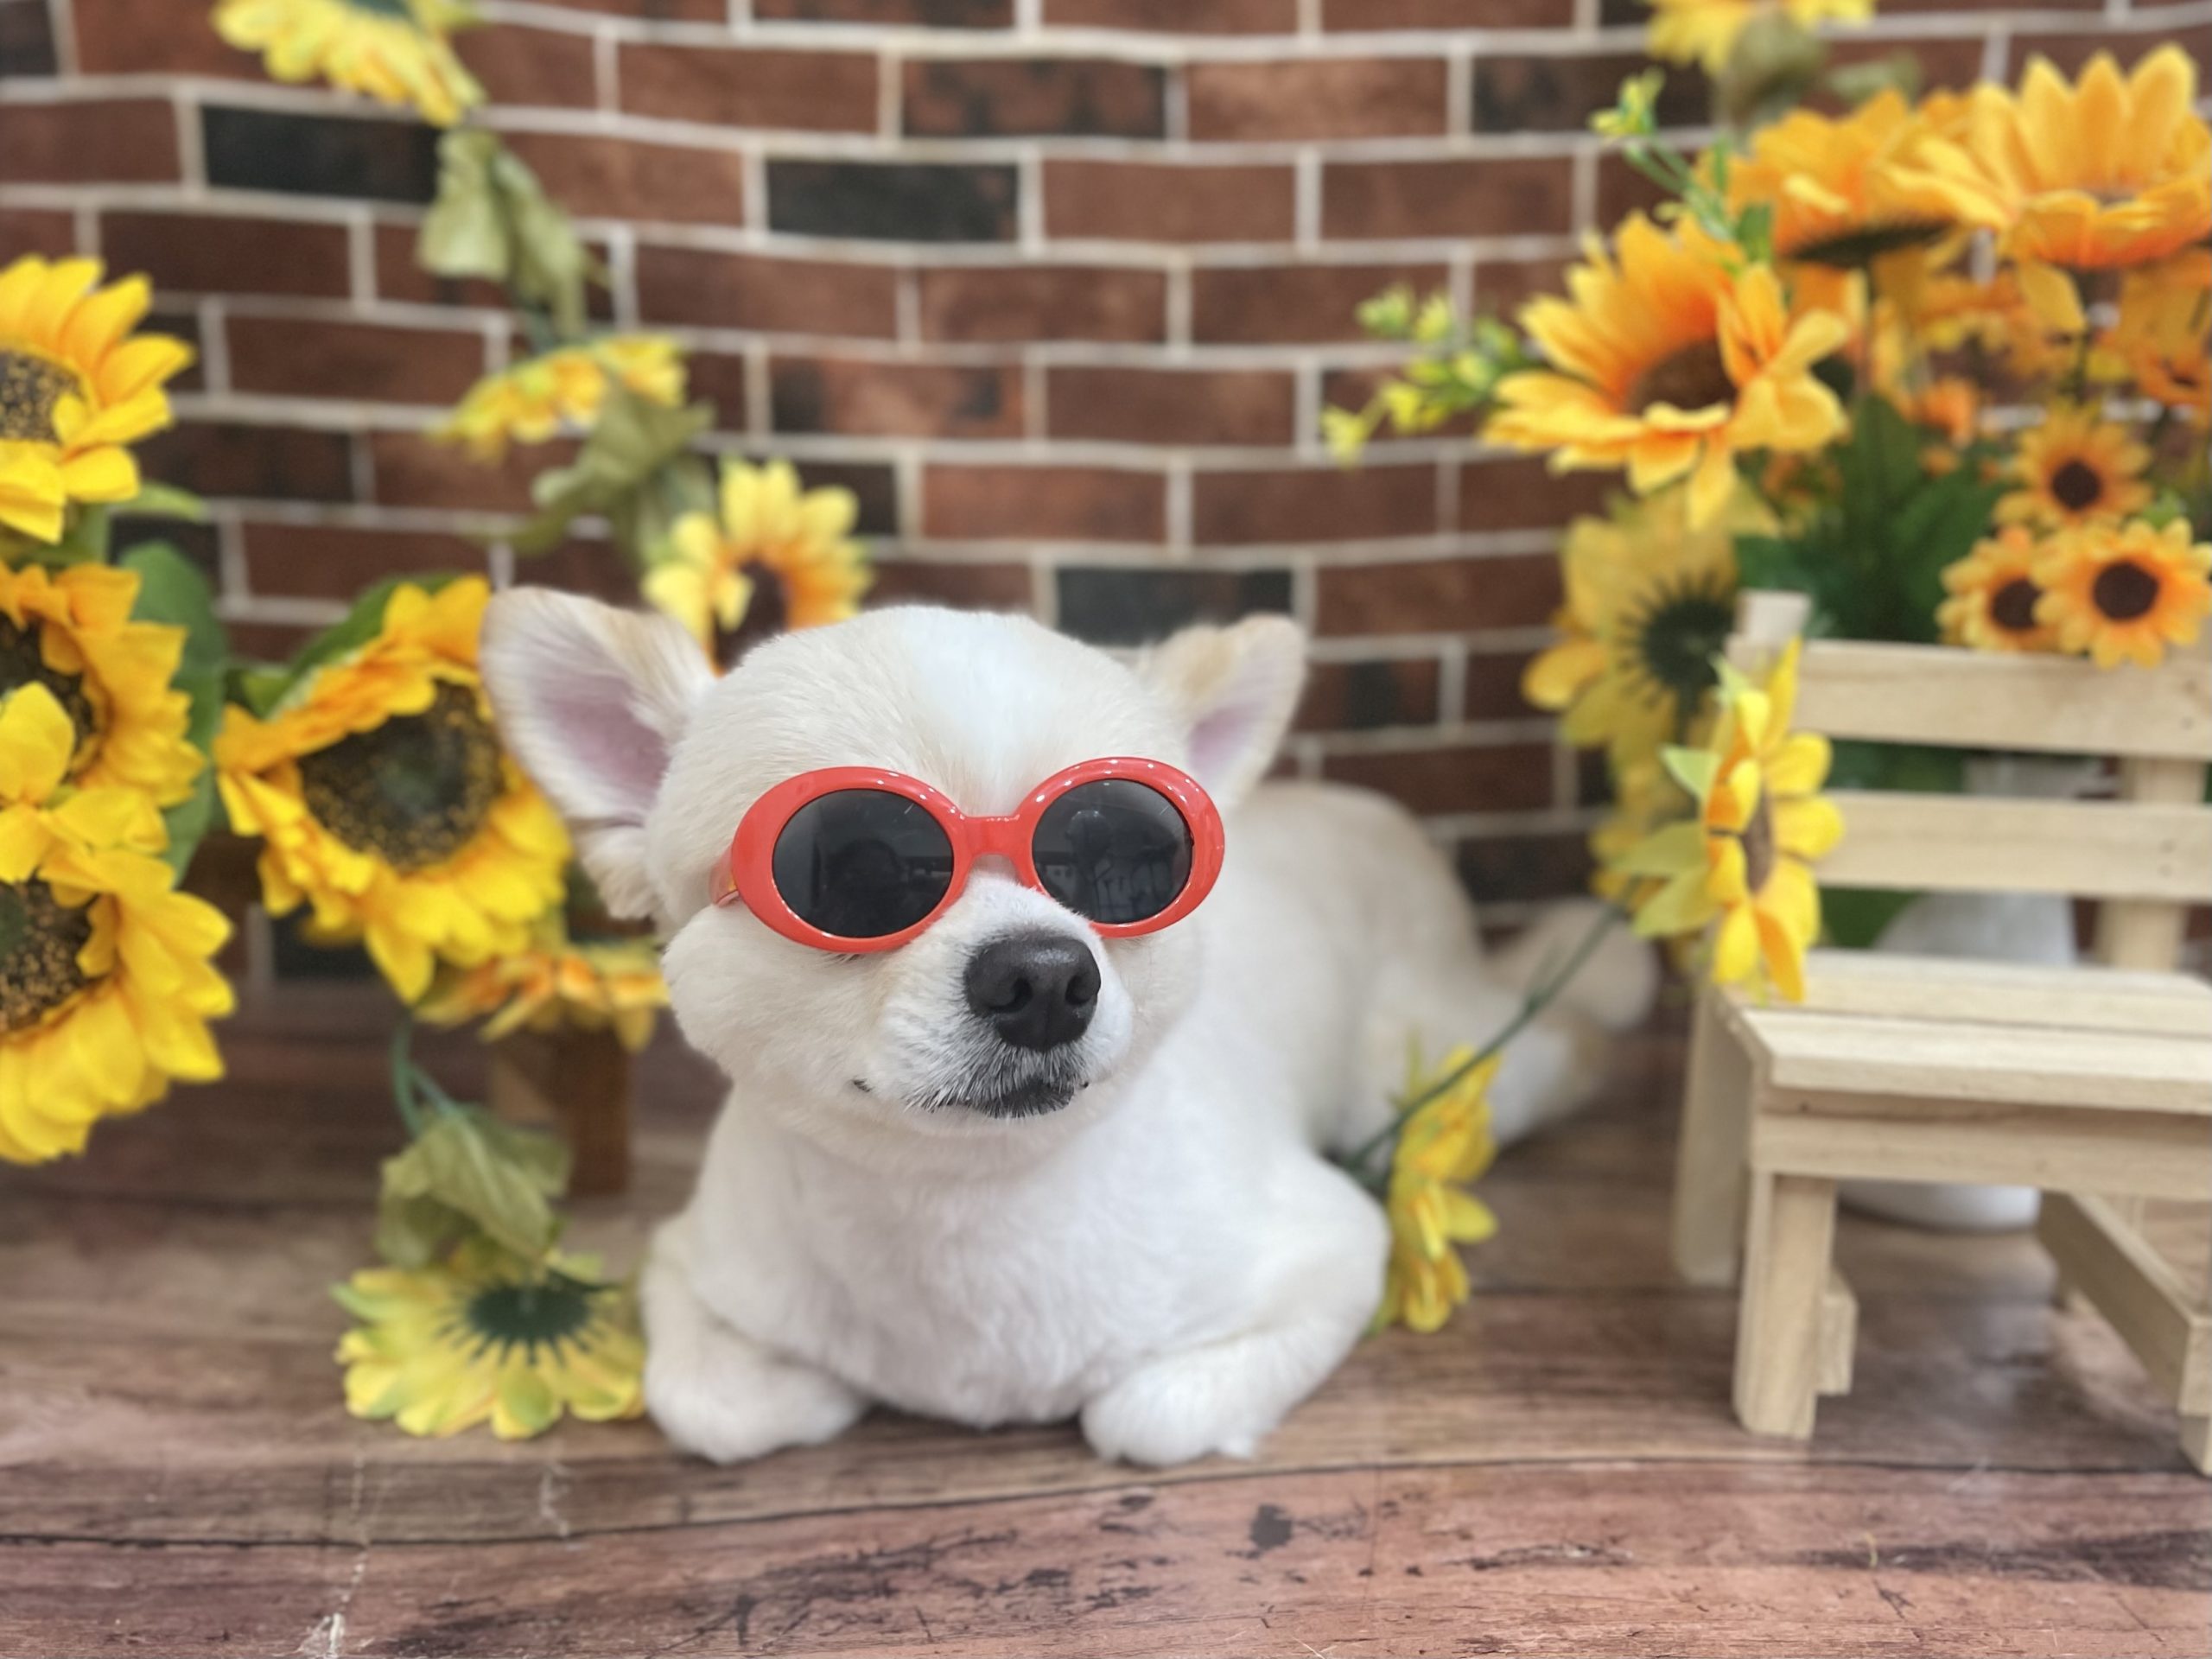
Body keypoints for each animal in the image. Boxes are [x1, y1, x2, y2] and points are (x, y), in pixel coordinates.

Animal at [481, 595, 1656, 1466]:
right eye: (855, 872)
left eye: (1118, 858)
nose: (1042, 976)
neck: (972, 1215)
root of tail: (1372, 810)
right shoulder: (691, 1257)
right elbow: (711, 1405)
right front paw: (817, 1386)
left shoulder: (1333, 1248)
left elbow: (1146, 1413)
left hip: (1420, 1074)